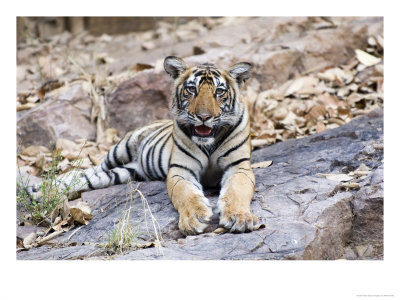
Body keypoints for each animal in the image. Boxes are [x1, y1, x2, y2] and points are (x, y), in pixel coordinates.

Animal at [29, 55, 258, 234]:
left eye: (219, 92)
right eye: (192, 89)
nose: (203, 117)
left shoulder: (239, 166)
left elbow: (237, 191)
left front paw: (239, 217)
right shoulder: (181, 170)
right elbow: (186, 194)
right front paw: (195, 218)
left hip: (121, 173)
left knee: (89, 177)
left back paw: (41, 192)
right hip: (118, 151)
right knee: (87, 170)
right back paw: (40, 190)